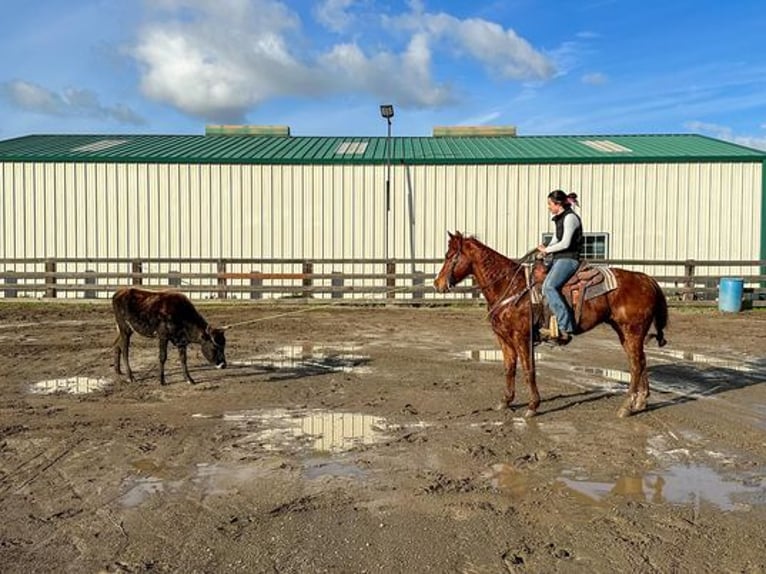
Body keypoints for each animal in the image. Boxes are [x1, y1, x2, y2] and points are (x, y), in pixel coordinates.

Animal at [436, 233, 668, 418]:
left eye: (450, 257)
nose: (437, 284)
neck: (511, 286)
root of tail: (647, 279)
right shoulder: (504, 338)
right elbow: (509, 369)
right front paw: (505, 401)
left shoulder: (522, 337)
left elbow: (528, 370)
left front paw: (532, 406)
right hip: (625, 332)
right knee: (640, 361)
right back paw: (640, 401)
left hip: (632, 331)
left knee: (636, 365)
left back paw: (626, 407)